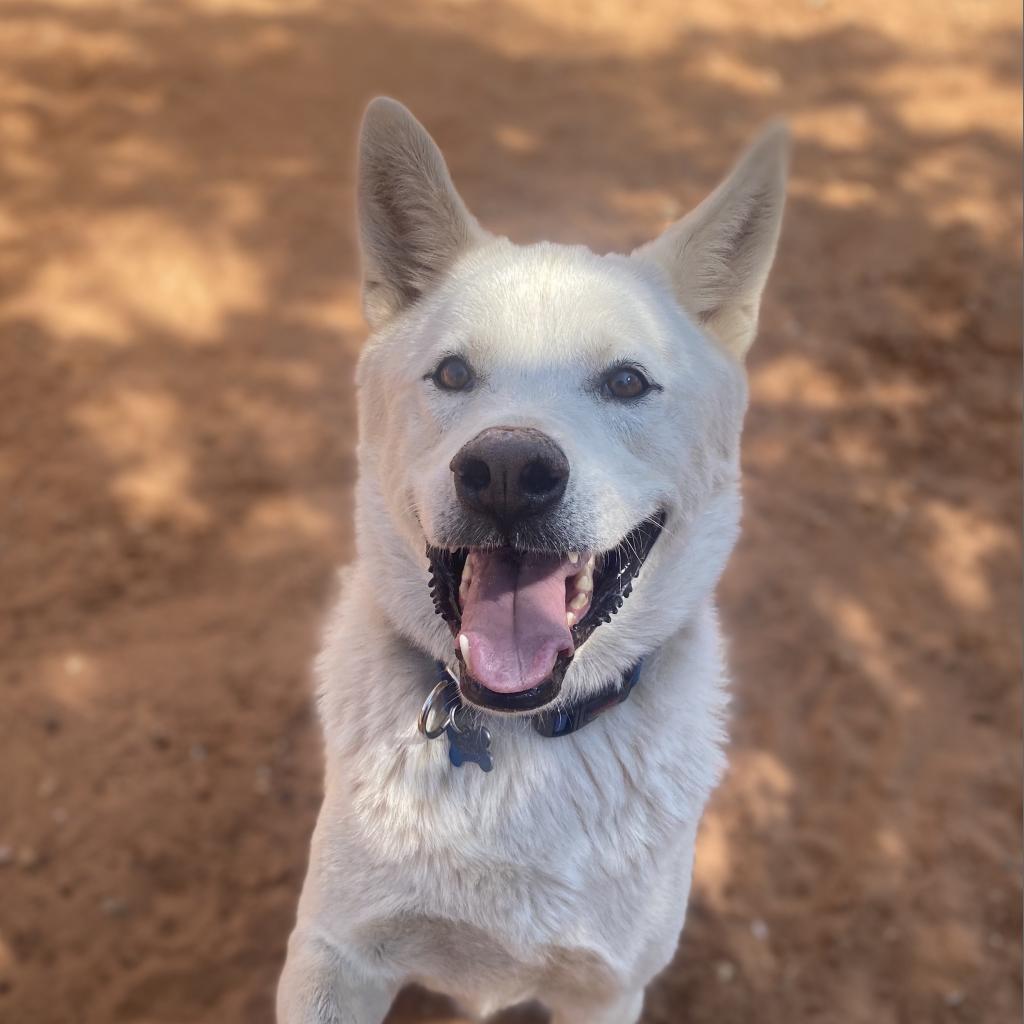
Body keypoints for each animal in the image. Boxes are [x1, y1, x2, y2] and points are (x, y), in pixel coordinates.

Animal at [276, 97, 786, 1024]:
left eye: (627, 383)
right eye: (452, 373)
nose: (508, 472)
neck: (515, 734)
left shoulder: (605, 988)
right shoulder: (335, 959)